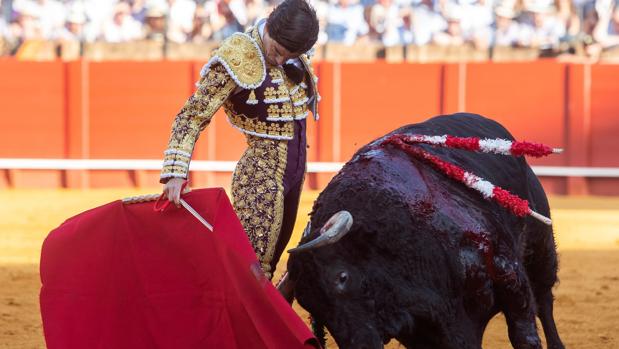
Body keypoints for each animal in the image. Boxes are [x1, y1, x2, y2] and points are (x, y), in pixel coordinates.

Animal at [284, 114, 564, 348]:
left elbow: (524, 335)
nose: (360, 345)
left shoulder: (508, 274)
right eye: (309, 304)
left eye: (342, 277)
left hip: (540, 247)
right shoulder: (427, 330)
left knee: (544, 299)